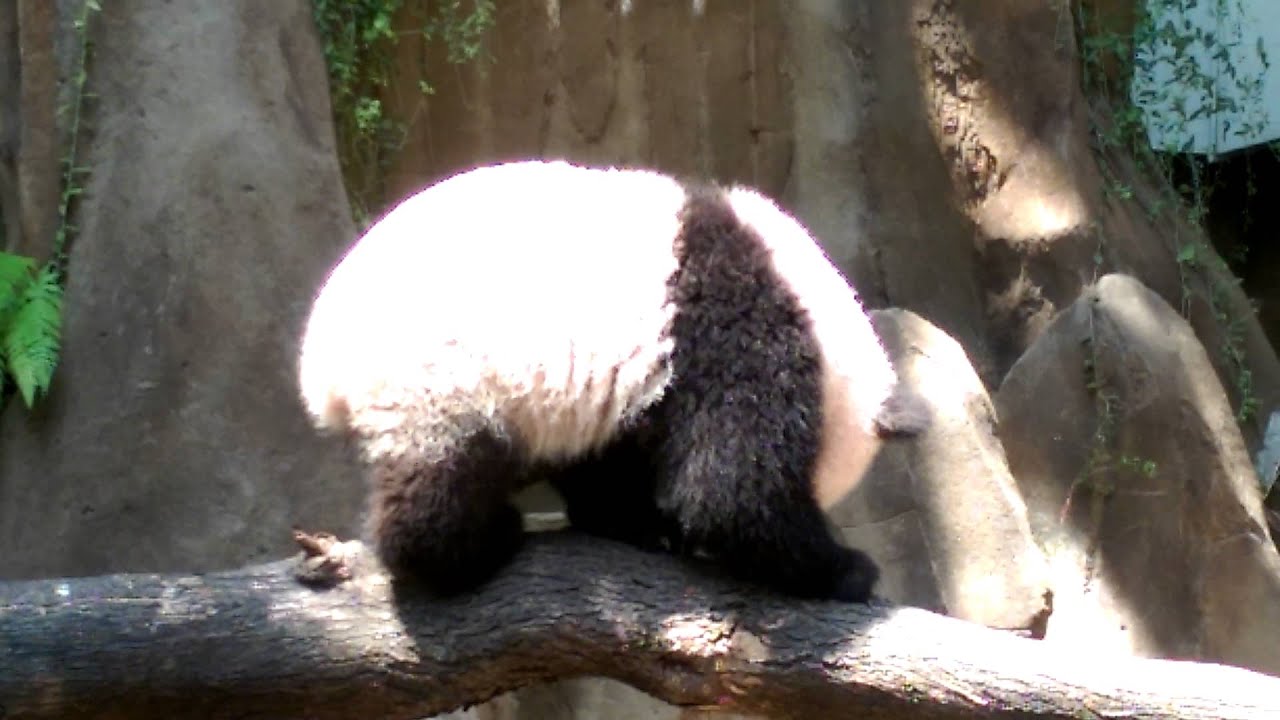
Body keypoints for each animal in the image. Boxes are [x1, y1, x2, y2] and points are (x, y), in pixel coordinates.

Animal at [295, 156, 926, 599]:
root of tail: (320, 367)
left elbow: (614, 460)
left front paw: (643, 525)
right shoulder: (736, 330)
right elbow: (734, 494)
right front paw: (845, 571)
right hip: (434, 372)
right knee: (442, 472)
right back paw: (474, 548)